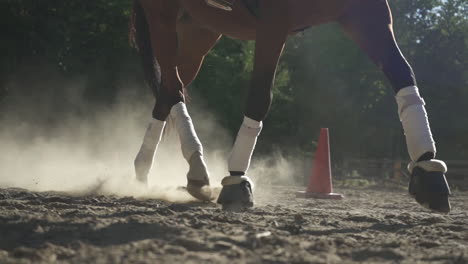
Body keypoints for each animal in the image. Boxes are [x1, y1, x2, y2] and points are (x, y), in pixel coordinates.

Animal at [128, 0, 450, 212]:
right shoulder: (273, 22)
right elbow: (260, 97)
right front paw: (236, 181)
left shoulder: (368, 12)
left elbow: (403, 77)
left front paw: (429, 172)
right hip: (164, 13)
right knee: (174, 88)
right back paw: (192, 168)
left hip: (201, 27)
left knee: (168, 91)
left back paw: (154, 170)